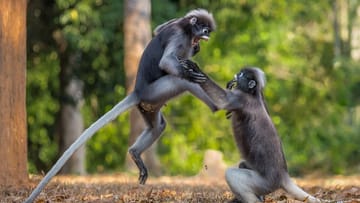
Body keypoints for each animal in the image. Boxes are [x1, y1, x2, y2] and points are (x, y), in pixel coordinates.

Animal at [26, 8, 217, 202]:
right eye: (204, 29)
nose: (206, 35)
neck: (186, 29)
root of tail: (137, 92)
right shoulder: (178, 34)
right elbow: (166, 62)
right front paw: (191, 67)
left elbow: (157, 29)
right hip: (156, 92)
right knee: (180, 81)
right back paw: (215, 103)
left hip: (149, 105)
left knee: (158, 126)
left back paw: (135, 153)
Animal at [181, 60, 322, 203]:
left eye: (242, 74)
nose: (236, 74)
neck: (252, 94)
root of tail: (284, 176)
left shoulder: (241, 99)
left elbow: (222, 101)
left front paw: (197, 70)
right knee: (242, 164)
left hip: (264, 183)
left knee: (231, 174)